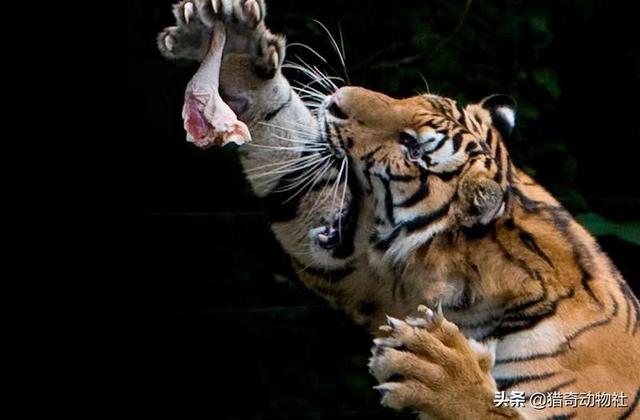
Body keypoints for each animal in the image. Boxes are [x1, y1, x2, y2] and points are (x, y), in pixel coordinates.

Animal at [157, 1, 640, 418]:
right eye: (413, 99)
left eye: (412, 147)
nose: (336, 102)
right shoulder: (372, 284)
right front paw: (240, 45)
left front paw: (437, 371)